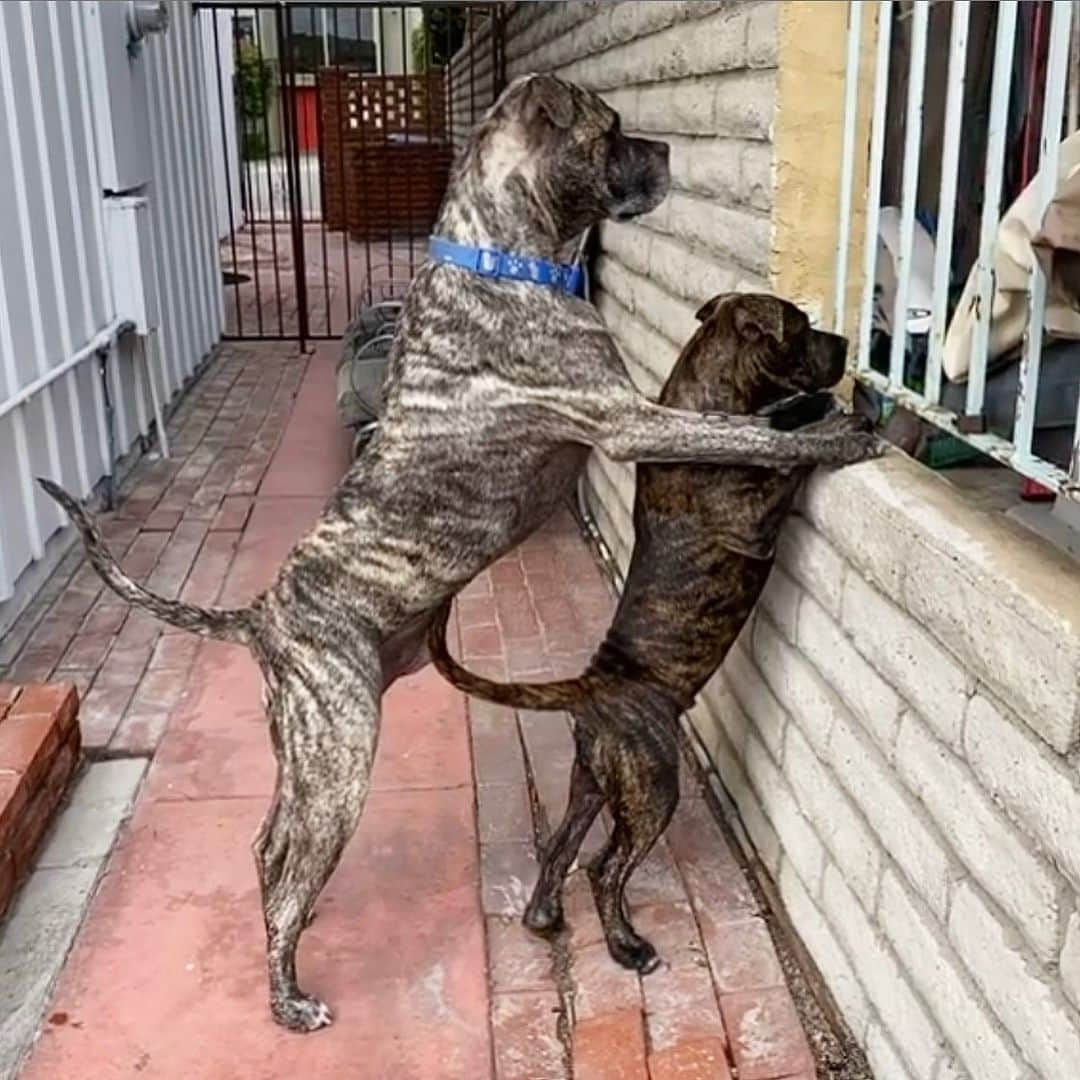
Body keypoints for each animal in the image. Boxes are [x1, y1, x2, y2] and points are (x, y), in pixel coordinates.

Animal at [425, 291, 872, 976]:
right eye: (801, 327)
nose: (847, 344)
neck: (708, 401)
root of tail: (590, 687)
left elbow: (777, 429)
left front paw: (815, 412)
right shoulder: (753, 510)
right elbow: (788, 454)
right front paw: (843, 431)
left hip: (595, 780)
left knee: (562, 847)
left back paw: (543, 915)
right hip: (654, 785)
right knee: (605, 868)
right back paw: (625, 945)